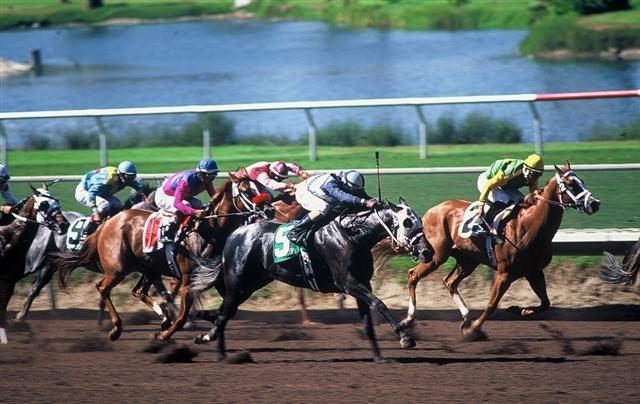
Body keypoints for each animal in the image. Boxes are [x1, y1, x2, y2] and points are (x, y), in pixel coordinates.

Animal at [54, 175, 270, 342]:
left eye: (259, 186)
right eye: (246, 191)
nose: (269, 210)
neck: (210, 231)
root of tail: (108, 223)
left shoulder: (217, 280)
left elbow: (229, 309)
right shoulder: (188, 281)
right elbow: (182, 316)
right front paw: (165, 335)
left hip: (148, 268)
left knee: (138, 291)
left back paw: (163, 317)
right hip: (117, 268)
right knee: (103, 288)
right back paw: (116, 329)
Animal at [192, 199, 432, 362]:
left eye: (420, 221)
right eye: (407, 222)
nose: (427, 251)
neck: (352, 235)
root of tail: (233, 235)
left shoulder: (362, 284)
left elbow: (367, 319)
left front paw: (378, 356)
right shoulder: (347, 283)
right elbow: (379, 303)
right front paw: (405, 337)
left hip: (250, 285)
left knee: (225, 313)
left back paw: (220, 351)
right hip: (237, 284)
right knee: (224, 313)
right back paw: (206, 337)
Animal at [372, 163, 604, 340]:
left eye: (582, 181)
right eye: (572, 185)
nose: (595, 203)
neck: (529, 227)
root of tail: (429, 212)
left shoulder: (534, 272)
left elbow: (546, 303)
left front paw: (519, 310)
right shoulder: (504, 273)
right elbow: (492, 304)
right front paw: (474, 330)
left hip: (468, 260)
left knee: (450, 282)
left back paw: (465, 317)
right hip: (436, 255)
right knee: (413, 276)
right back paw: (409, 319)